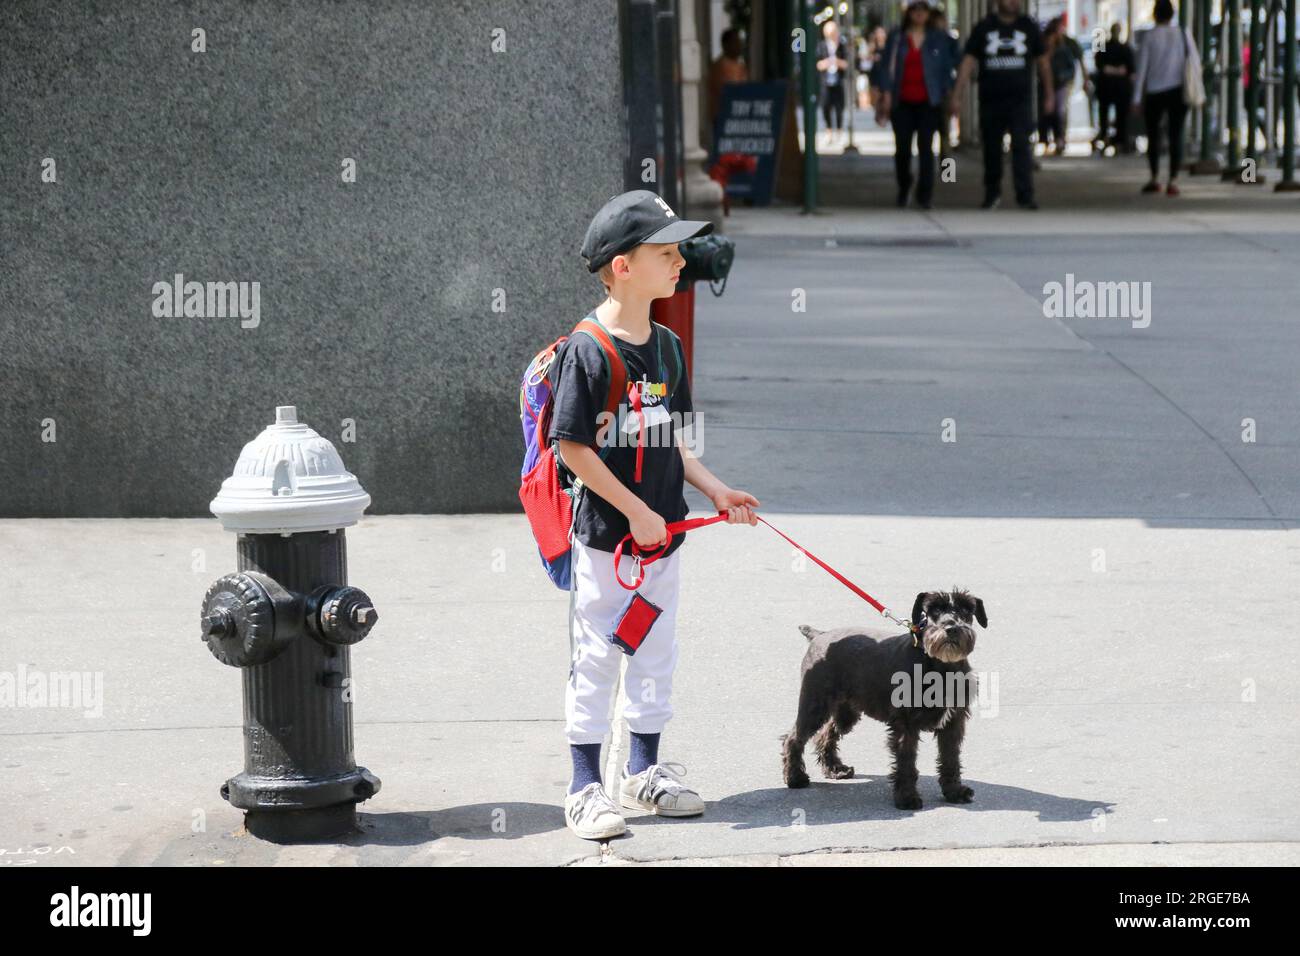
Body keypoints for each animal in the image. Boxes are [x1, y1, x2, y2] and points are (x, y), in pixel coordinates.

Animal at [780, 587, 982, 811]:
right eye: (934, 610)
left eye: (966, 610)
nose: (951, 628)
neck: (940, 667)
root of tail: (819, 635)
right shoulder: (906, 725)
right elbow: (906, 762)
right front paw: (906, 798)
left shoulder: (954, 721)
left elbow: (950, 758)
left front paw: (955, 791)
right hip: (814, 705)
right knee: (794, 738)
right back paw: (795, 778)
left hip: (845, 711)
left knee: (826, 734)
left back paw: (836, 769)